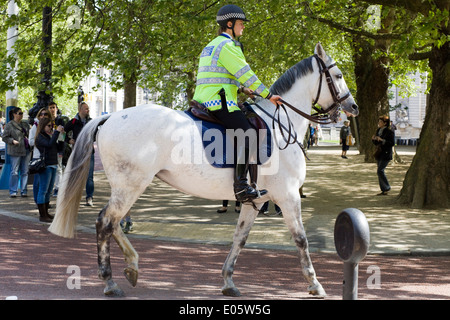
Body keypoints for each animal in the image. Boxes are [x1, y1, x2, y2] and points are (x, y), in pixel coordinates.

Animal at [48, 43, 358, 298]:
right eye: (338, 75)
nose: (352, 106)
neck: (279, 124)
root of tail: (110, 116)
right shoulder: (288, 196)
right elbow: (301, 239)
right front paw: (315, 283)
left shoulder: (257, 200)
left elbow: (240, 238)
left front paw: (228, 281)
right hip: (130, 186)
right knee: (106, 222)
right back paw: (110, 281)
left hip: (131, 187)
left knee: (113, 224)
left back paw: (132, 266)